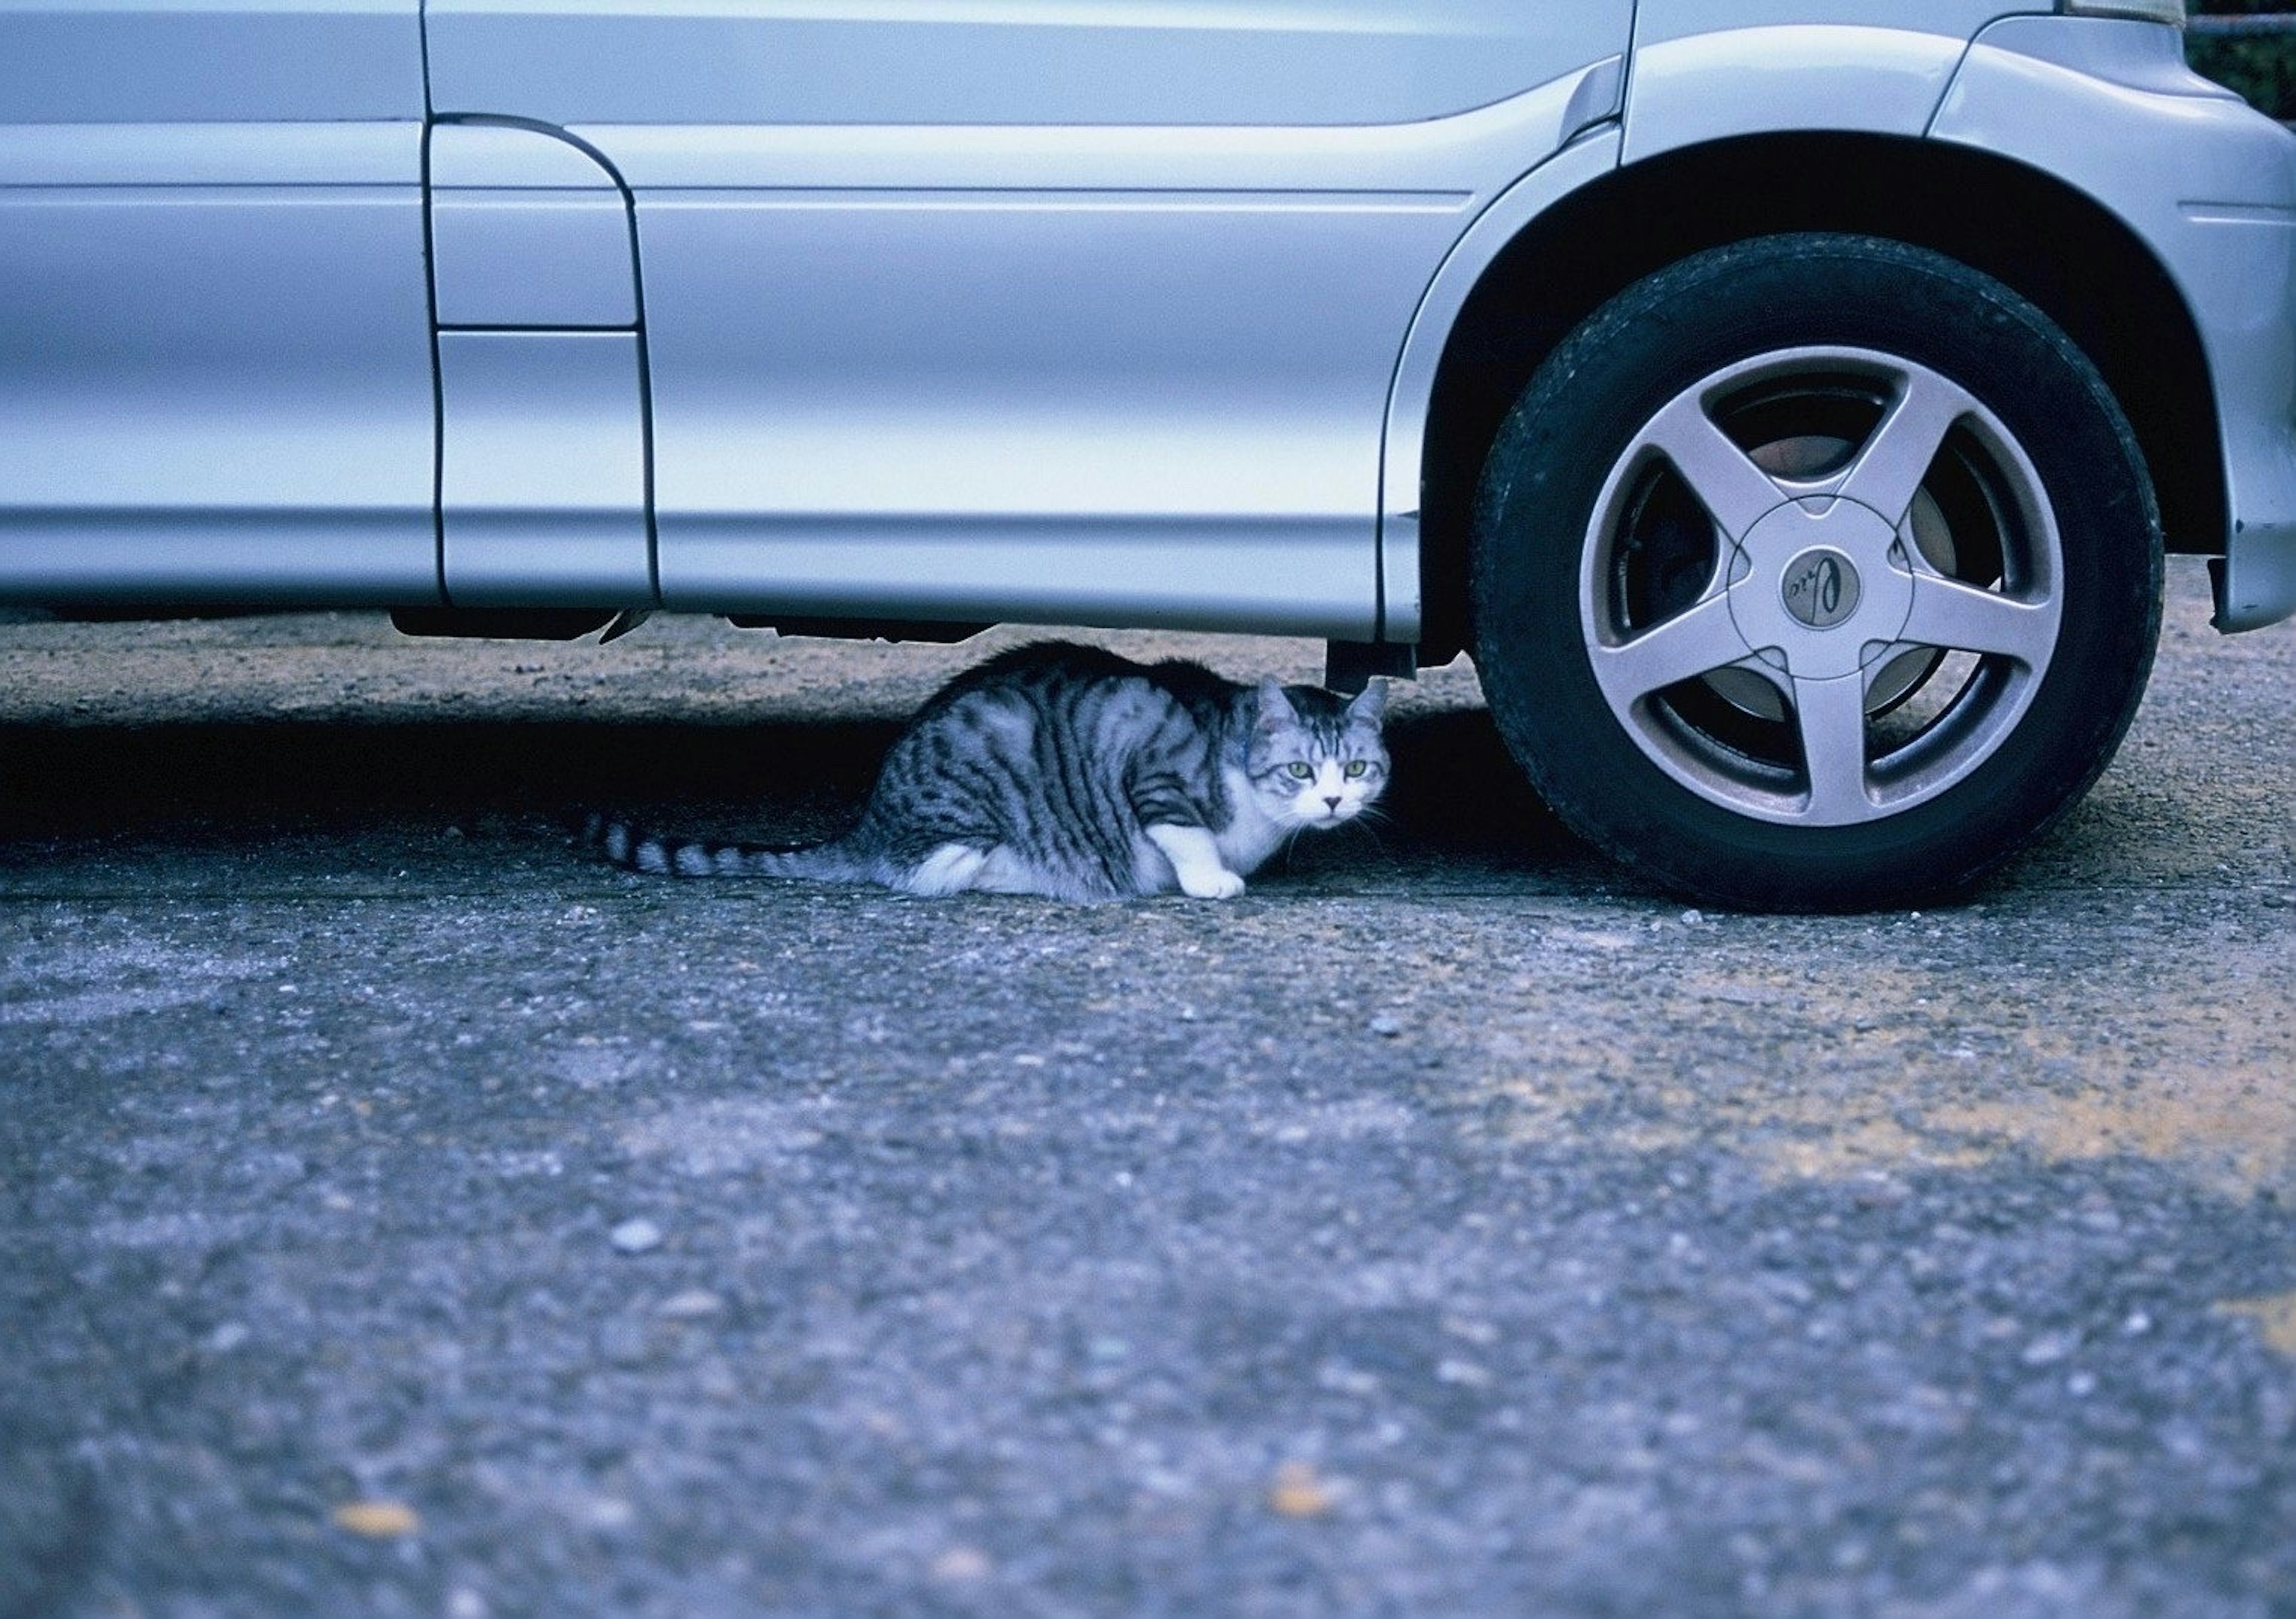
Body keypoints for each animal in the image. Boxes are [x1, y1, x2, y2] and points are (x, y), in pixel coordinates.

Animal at [583, 643, 1387, 896]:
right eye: (1299, 770)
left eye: (1355, 766)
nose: (1334, 802)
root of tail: (868, 820)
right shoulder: (1151, 768)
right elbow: (1183, 833)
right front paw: (1211, 877)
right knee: (933, 872)